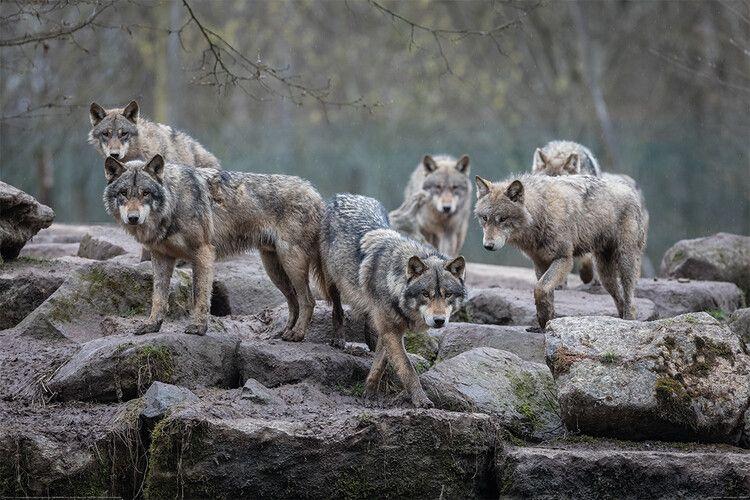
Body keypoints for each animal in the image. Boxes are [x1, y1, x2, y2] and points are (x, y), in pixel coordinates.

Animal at [102, 155, 324, 338]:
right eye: (123, 193)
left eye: (145, 193)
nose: (133, 218)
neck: (174, 202)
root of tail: (315, 192)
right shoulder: (161, 257)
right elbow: (158, 297)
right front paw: (152, 325)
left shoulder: (203, 253)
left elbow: (200, 295)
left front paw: (198, 327)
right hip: (274, 269)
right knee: (294, 301)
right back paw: (284, 332)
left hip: (291, 262)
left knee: (308, 300)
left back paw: (297, 334)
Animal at [320, 194, 467, 408]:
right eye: (426, 294)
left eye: (447, 294)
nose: (439, 321)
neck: (394, 282)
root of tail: (346, 195)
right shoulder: (391, 331)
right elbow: (407, 368)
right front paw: (421, 400)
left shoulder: (390, 330)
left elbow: (380, 363)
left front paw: (369, 393)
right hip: (332, 281)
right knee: (337, 308)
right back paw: (339, 338)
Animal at [475, 173, 646, 329]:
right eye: (485, 218)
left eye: (502, 219)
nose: (488, 245)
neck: (541, 212)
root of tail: (630, 189)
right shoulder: (540, 263)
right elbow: (546, 293)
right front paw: (546, 322)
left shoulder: (564, 259)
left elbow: (540, 288)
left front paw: (544, 320)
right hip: (605, 275)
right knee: (620, 298)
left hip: (624, 262)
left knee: (630, 299)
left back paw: (629, 321)